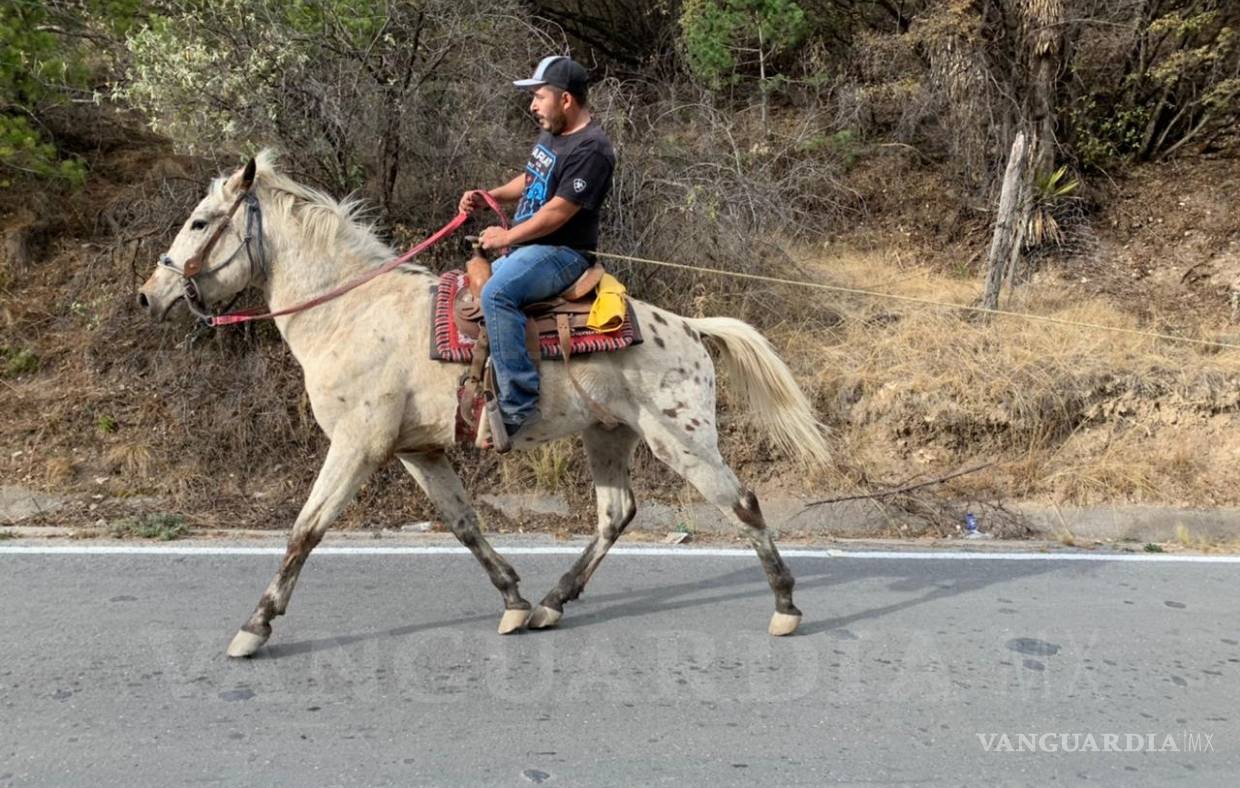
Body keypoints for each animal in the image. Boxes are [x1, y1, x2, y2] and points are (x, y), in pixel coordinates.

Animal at [140, 150, 828, 655]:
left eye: (200, 221)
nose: (150, 294)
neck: (353, 311)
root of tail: (688, 327)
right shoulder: (417, 451)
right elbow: (465, 525)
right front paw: (515, 601)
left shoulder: (358, 446)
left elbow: (305, 530)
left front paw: (255, 626)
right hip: (608, 434)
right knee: (615, 514)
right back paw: (552, 603)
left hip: (683, 440)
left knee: (742, 503)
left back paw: (787, 607)